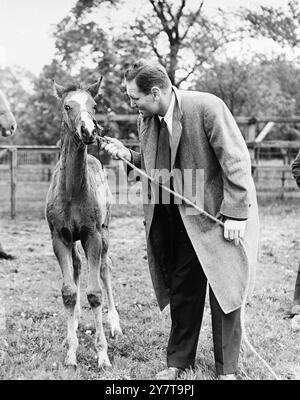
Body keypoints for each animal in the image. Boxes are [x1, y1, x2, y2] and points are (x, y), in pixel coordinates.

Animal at [45, 79, 122, 368]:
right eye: (67, 106)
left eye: (95, 105)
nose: (89, 130)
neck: (72, 192)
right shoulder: (59, 237)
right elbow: (68, 291)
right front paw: (71, 353)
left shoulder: (92, 236)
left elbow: (95, 293)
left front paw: (102, 355)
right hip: (73, 238)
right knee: (77, 266)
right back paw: (77, 319)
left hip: (106, 232)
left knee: (105, 268)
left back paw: (115, 325)